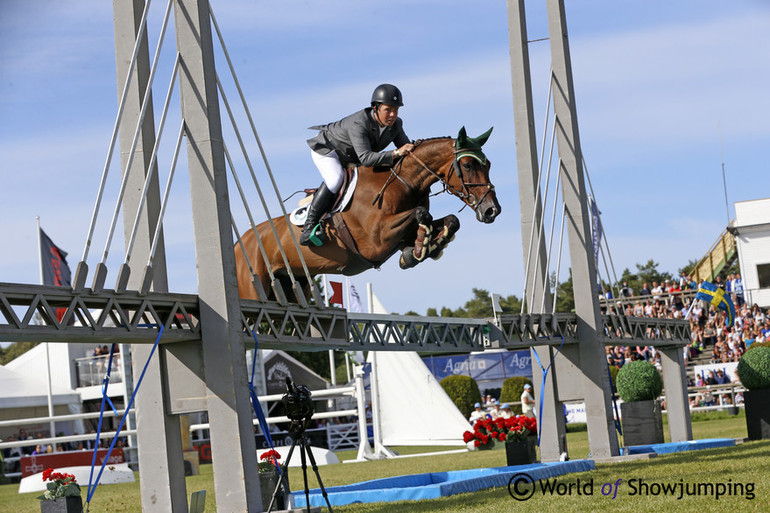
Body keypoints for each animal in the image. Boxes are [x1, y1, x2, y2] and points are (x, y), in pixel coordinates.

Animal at [231, 126, 500, 302]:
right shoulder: (375, 241)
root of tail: (238, 242)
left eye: (488, 165)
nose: (492, 211)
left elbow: (449, 220)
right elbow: (420, 212)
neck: (403, 182)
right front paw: (416, 251)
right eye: (468, 165)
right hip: (253, 288)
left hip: (295, 285)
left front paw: (421, 249)